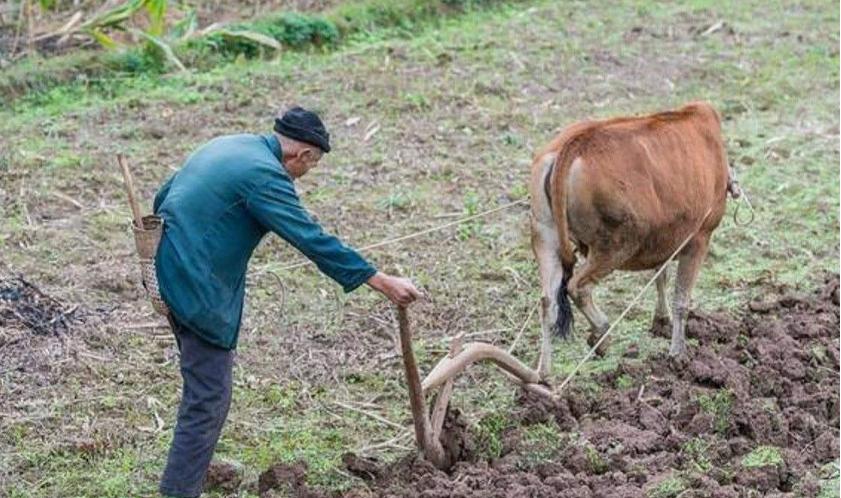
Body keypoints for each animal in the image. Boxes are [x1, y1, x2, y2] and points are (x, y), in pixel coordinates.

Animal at [528, 101, 732, 376]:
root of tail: (573, 145)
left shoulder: (666, 236)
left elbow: (660, 276)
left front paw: (661, 322)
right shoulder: (699, 237)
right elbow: (681, 299)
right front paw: (678, 354)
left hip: (545, 236)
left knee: (548, 302)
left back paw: (544, 374)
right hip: (614, 246)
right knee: (578, 287)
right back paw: (601, 334)